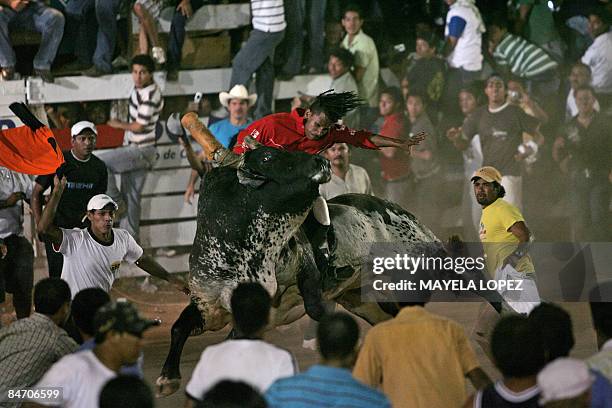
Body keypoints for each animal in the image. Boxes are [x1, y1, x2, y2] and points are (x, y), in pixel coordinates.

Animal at [155, 145, 490, 396]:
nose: (321, 160)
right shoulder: (208, 305)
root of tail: (397, 210)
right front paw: (167, 378)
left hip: (427, 256)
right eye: (267, 157)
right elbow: (180, 327)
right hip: (369, 300)